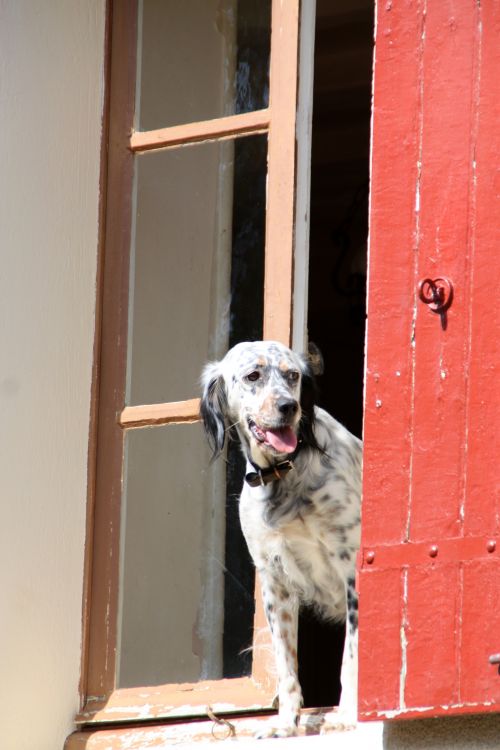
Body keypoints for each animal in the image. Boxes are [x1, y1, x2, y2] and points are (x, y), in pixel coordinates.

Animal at [201, 342, 362, 740]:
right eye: (253, 376)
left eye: (293, 375)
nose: (289, 406)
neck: (284, 476)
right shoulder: (276, 585)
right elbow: (286, 666)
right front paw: (286, 725)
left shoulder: (354, 573)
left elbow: (351, 660)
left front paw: (348, 718)